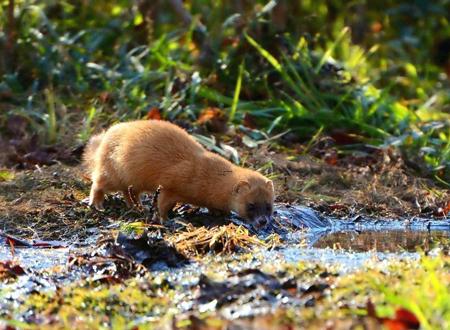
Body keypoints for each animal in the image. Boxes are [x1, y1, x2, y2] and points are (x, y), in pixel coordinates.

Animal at [83, 120, 276, 227]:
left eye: (269, 206)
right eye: (251, 205)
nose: (263, 221)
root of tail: (106, 135)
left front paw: (220, 213)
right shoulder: (171, 183)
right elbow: (162, 202)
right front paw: (165, 218)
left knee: (129, 192)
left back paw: (138, 206)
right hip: (112, 171)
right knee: (98, 182)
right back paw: (97, 204)